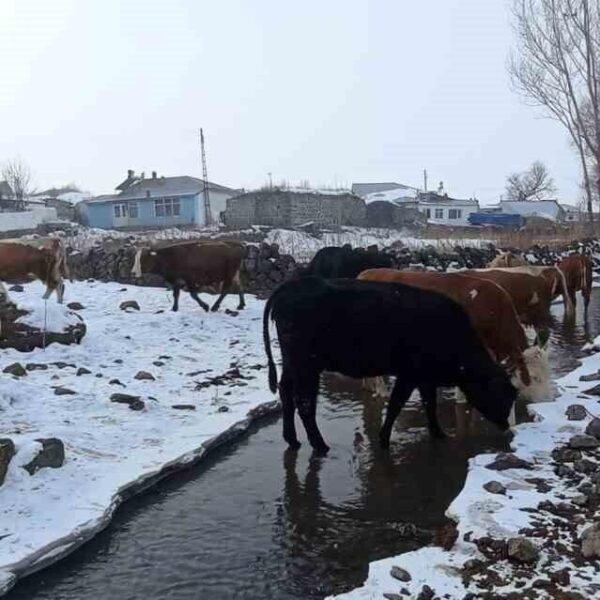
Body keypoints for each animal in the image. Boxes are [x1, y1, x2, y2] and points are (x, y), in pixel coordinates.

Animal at [262, 278, 516, 452]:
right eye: (502, 394)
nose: (507, 427)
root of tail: (292, 286)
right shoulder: (409, 375)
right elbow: (396, 404)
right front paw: (384, 439)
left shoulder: (425, 378)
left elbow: (430, 404)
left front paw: (439, 434)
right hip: (307, 365)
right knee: (304, 403)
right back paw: (320, 446)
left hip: (292, 364)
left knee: (285, 392)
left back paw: (293, 440)